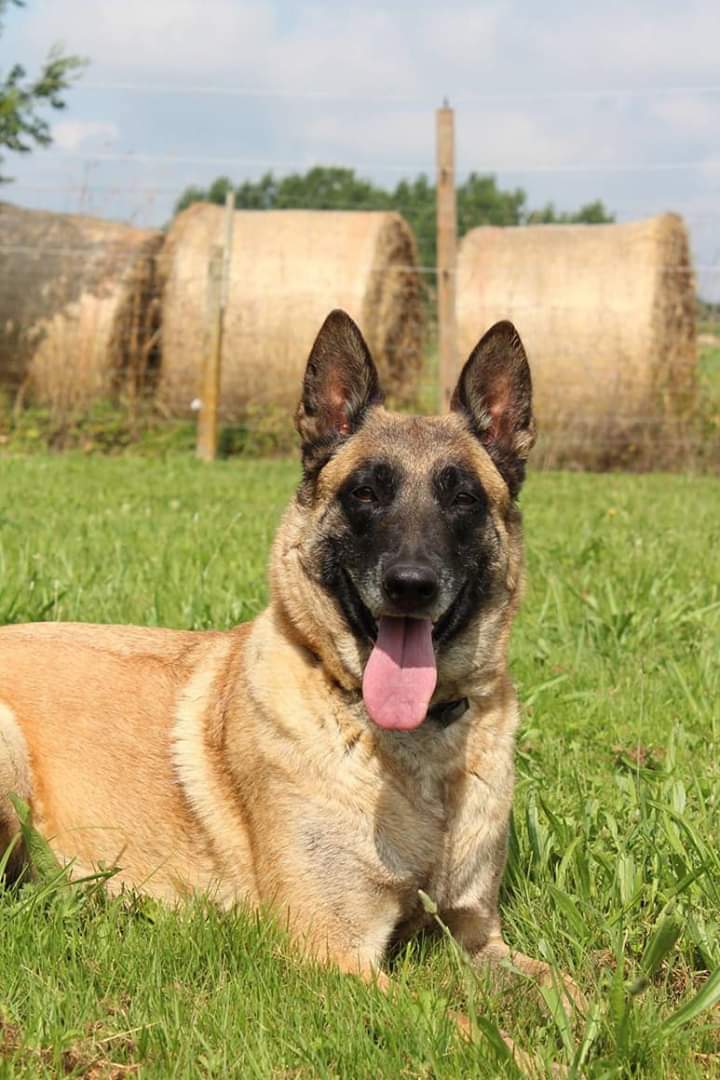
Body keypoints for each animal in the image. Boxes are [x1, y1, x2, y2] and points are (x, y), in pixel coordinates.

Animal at [0, 313, 557, 1002]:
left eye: (463, 499)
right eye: (365, 493)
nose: (411, 584)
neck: (412, 749)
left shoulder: (477, 935)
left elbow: (569, 991)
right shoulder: (329, 949)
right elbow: (450, 1019)